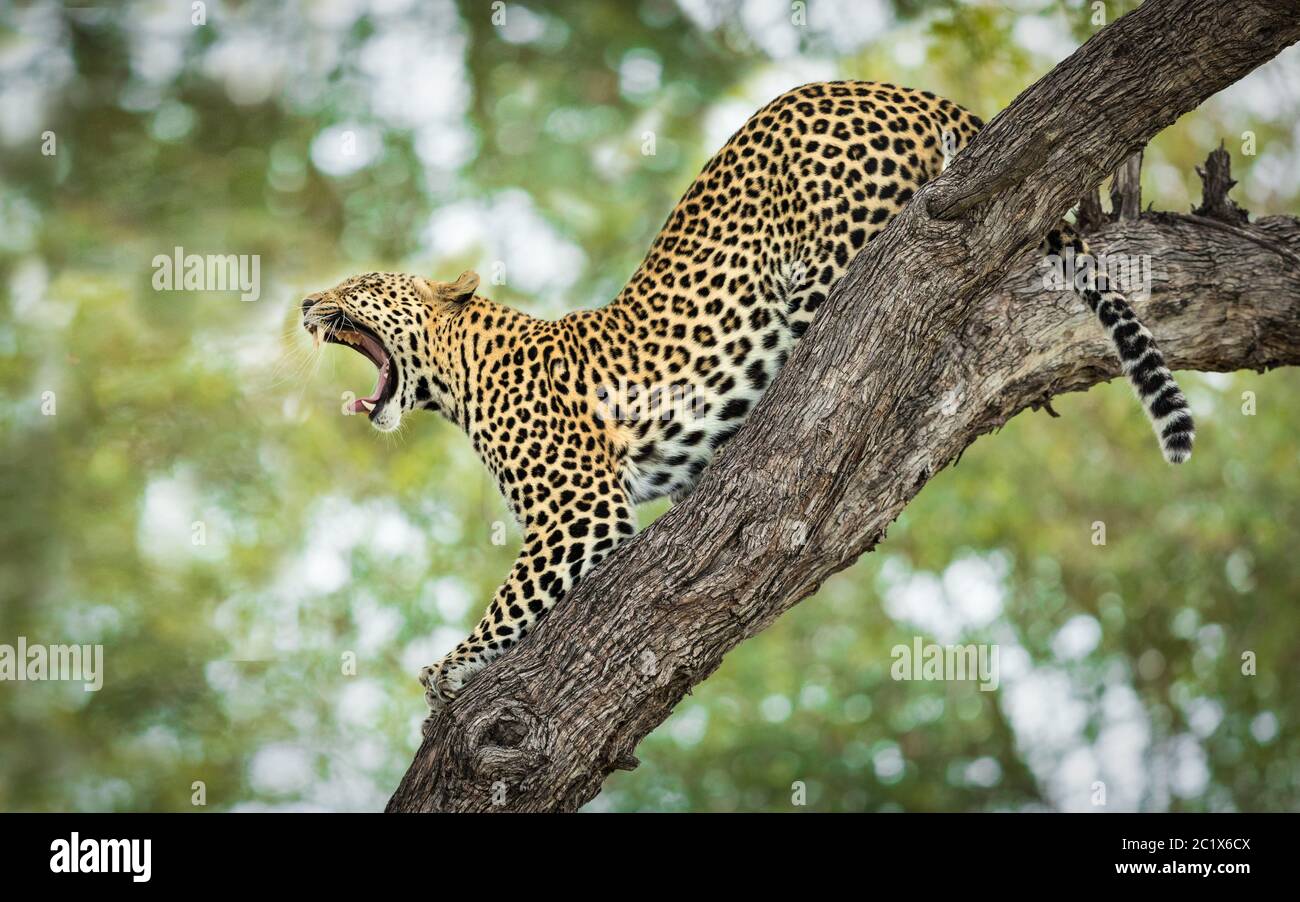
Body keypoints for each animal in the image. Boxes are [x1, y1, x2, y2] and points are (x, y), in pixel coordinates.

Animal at [299, 81, 1190, 712]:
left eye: (359, 285)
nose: (306, 304)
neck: (462, 374)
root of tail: (905, 91)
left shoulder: (576, 515)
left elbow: (508, 602)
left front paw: (447, 670)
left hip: (836, 259)